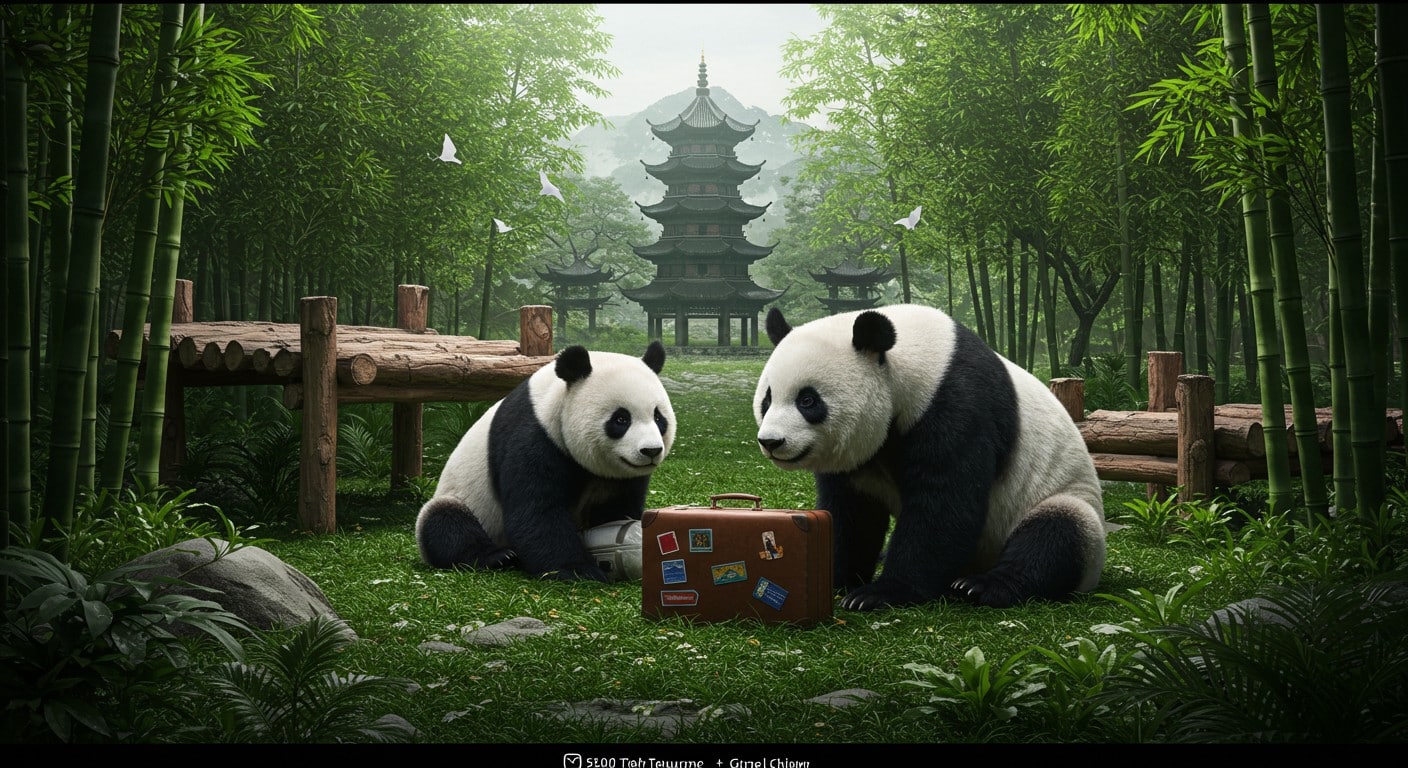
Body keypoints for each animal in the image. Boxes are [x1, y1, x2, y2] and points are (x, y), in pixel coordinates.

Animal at [416, 342, 675, 582]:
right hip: (463, 499)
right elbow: (537, 510)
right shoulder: (535, 434)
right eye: (621, 419)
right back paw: (497, 556)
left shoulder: (619, 477)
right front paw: (579, 570)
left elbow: (616, 506)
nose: (651, 451)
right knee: (444, 522)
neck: (557, 398)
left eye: (658, 417)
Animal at [753, 304, 1106, 611]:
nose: (771, 441)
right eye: (767, 400)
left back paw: (981, 586)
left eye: (808, 401)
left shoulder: (957, 403)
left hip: (1062, 500)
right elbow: (852, 512)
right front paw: (836, 577)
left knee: (1056, 534)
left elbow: (944, 502)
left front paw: (880, 593)